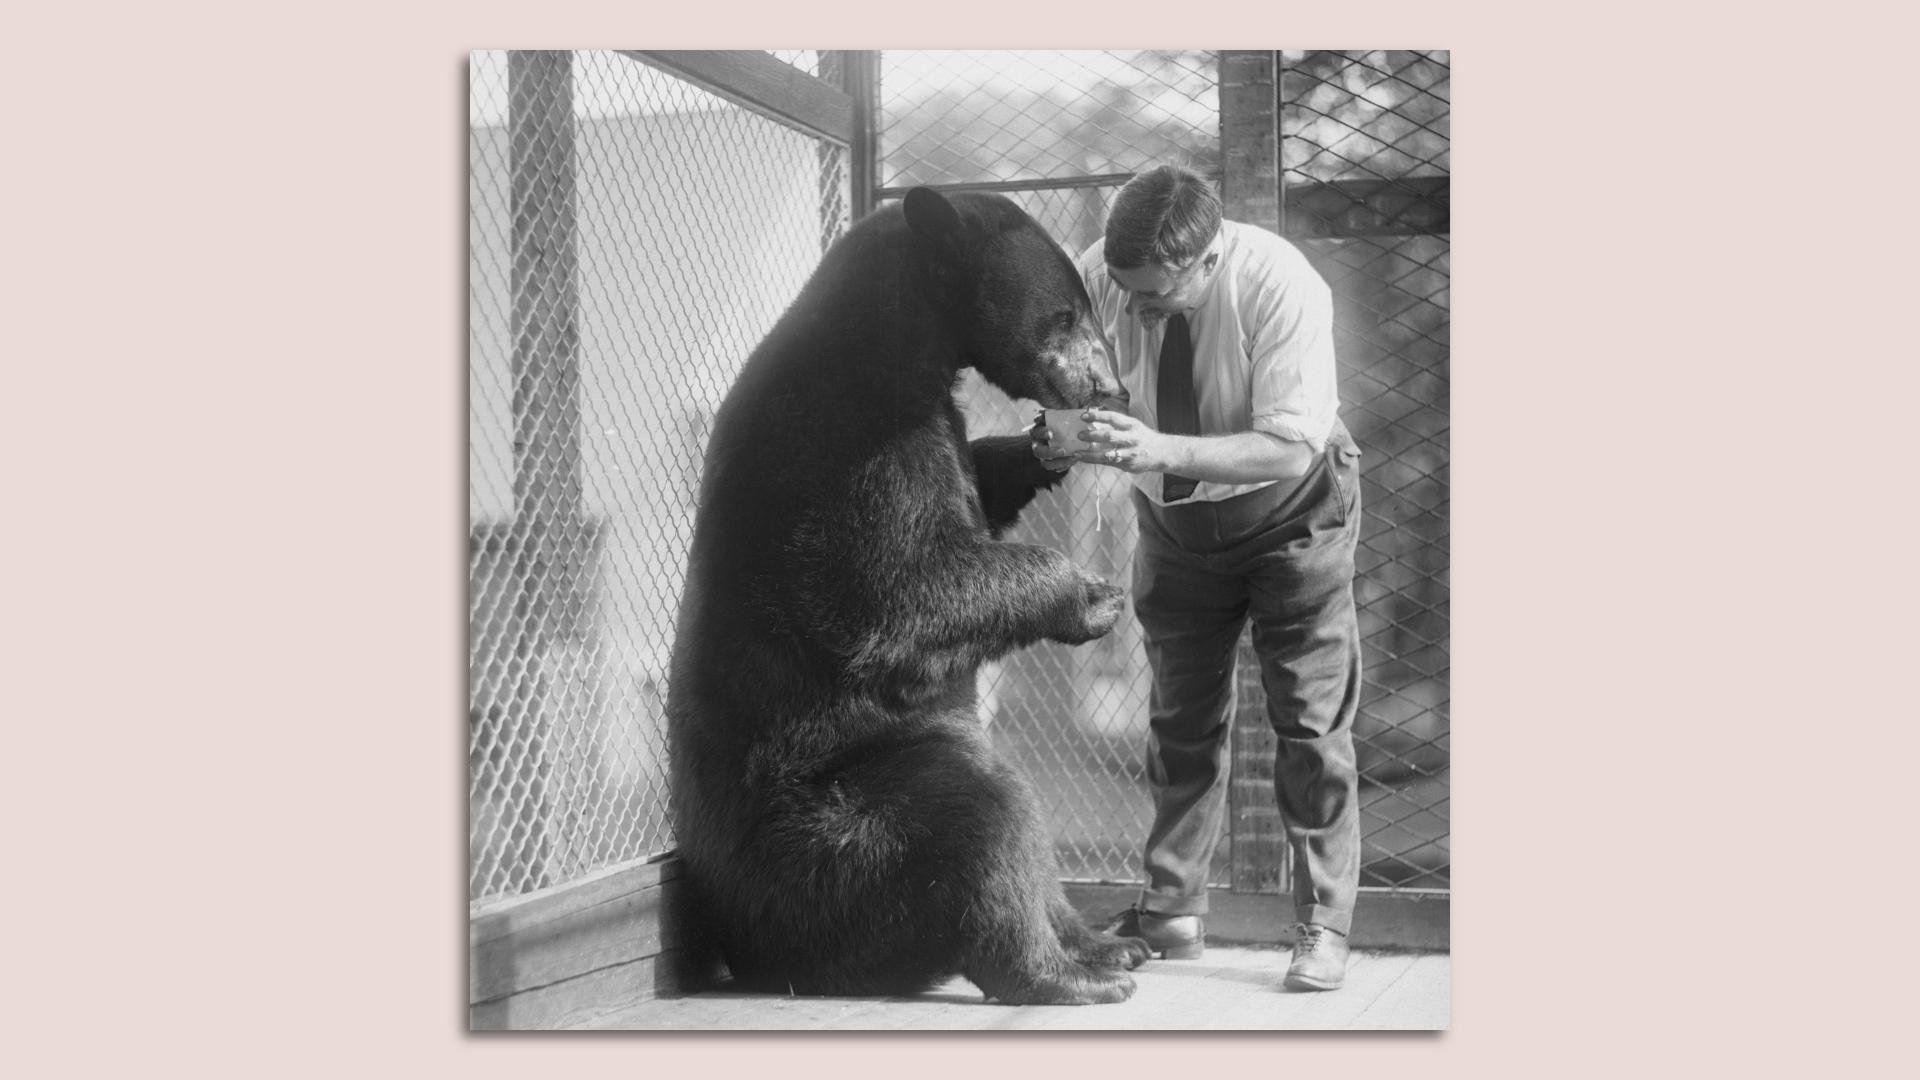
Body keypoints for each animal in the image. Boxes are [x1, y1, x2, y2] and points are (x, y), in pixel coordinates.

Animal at [665, 187, 1151, 1005]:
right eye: (1065, 314)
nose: (1108, 387)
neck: (902, 338)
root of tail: (752, 947)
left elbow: (978, 484)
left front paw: (1039, 450)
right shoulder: (853, 446)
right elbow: (900, 593)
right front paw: (1090, 595)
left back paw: (1106, 945)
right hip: (833, 838)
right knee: (981, 814)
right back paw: (1061, 971)